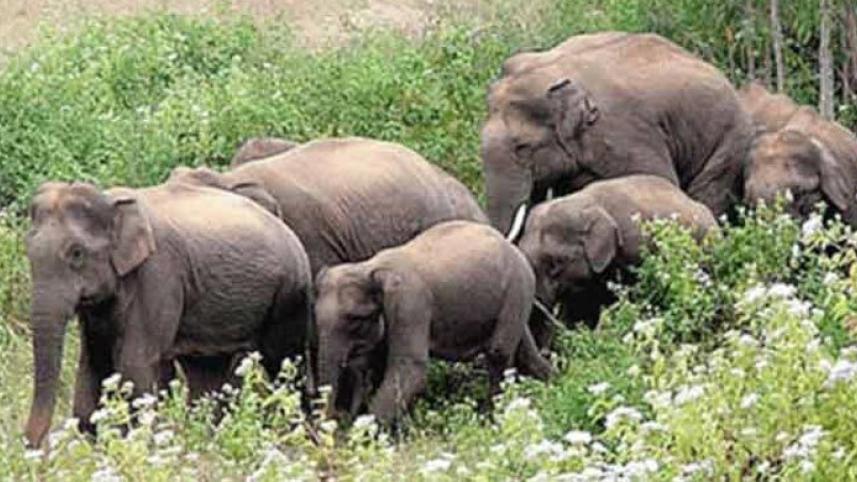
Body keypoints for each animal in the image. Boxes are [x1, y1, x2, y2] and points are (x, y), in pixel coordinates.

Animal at [23, 180, 312, 448]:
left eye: (76, 253)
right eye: (28, 251)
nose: (36, 449)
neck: (111, 201)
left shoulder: (159, 275)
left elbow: (135, 363)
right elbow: (94, 362)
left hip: (287, 295)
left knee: (283, 362)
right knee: (206, 371)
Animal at [313, 221, 553, 425]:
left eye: (354, 320)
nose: (334, 417)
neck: (368, 267)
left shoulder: (409, 304)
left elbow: (410, 367)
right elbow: (367, 367)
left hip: (517, 288)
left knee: (498, 354)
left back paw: (490, 418)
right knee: (524, 352)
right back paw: (551, 380)